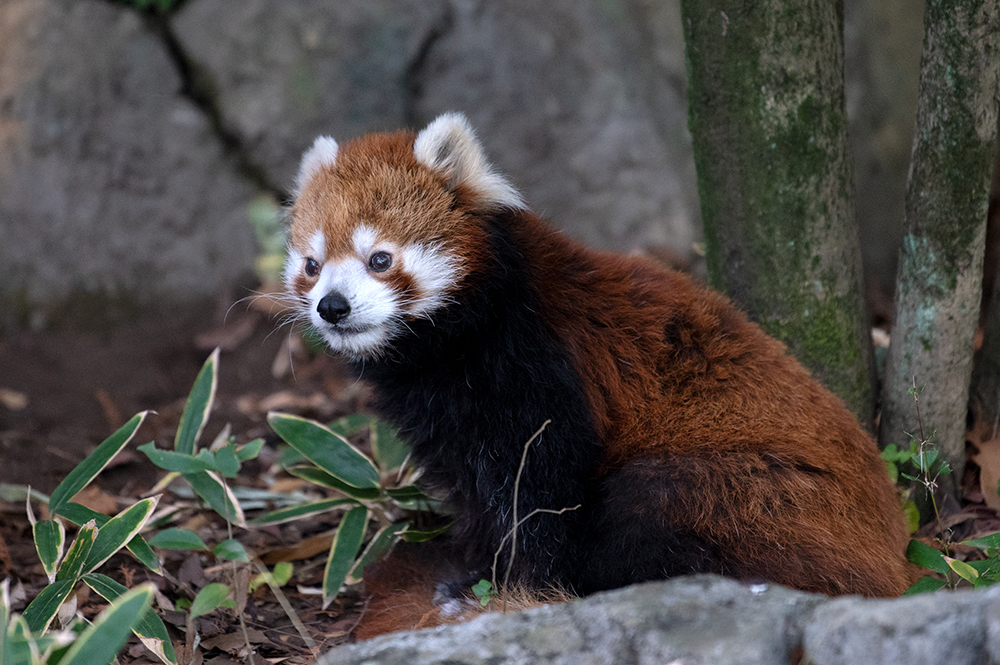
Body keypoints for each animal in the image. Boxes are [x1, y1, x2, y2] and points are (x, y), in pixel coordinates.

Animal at [284, 111, 916, 636]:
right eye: (312, 265)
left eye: (380, 259)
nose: (332, 307)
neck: (456, 341)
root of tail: (896, 555)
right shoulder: (450, 421)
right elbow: (481, 498)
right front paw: (474, 572)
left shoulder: (538, 372)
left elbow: (540, 495)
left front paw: (520, 589)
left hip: (745, 495)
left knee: (647, 506)